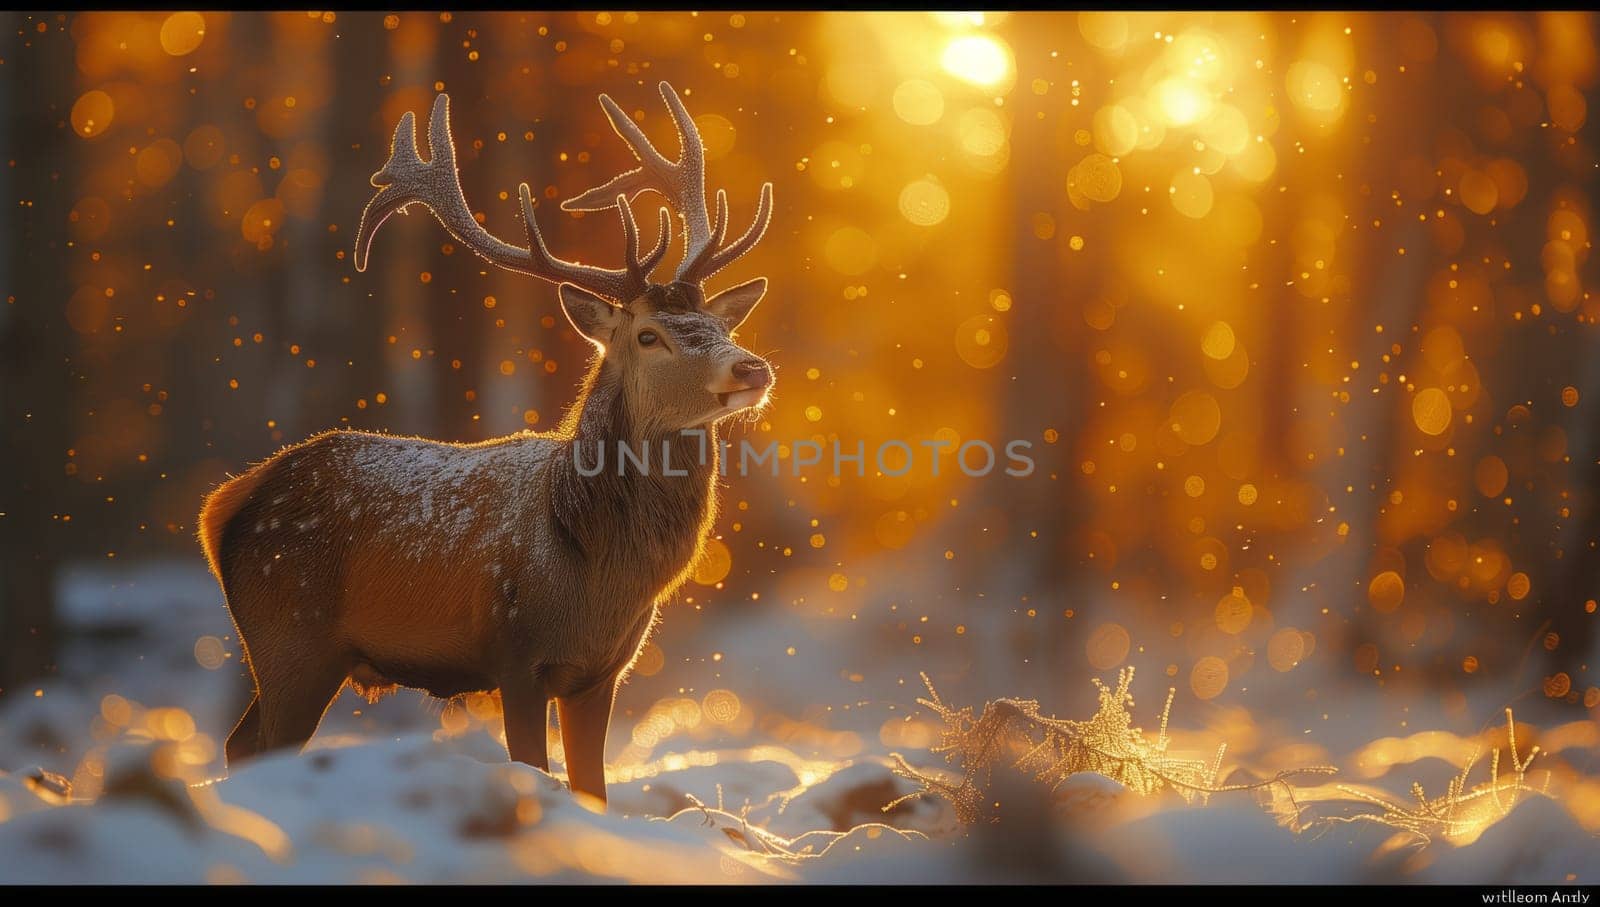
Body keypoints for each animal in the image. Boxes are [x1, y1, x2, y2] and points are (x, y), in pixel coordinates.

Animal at [200, 83, 774, 809]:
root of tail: (227, 501)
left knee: (240, 742)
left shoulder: (602, 671)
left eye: (716, 326)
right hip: (288, 634)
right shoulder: (515, 654)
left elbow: (593, 790)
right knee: (259, 741)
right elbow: (533, 767)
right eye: (650, 336)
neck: (593, 570)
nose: (751, 368)